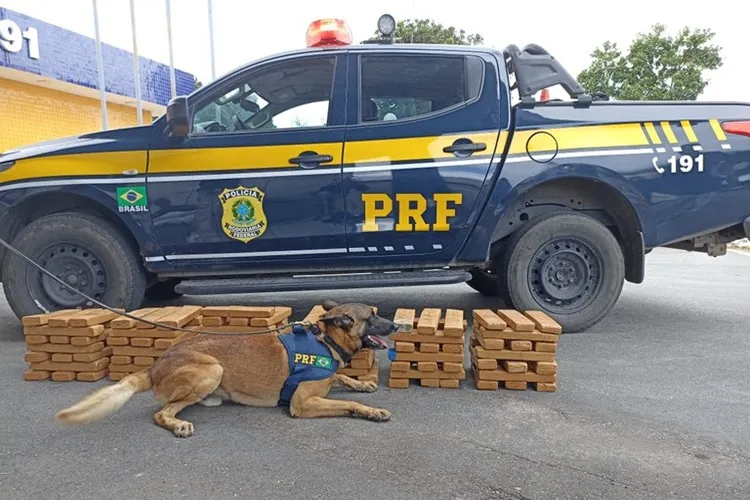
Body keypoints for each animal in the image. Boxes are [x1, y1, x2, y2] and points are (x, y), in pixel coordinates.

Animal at [56, 300, 406, 438]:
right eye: (373, 317)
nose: (396, 325)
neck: (326, 341)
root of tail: (157, 364)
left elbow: (343, 377)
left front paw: (361, 383)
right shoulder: (302, 404)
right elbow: (348, 403)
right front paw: (371, 411)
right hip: (212, 370)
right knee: (161, 413)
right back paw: (177, 424)